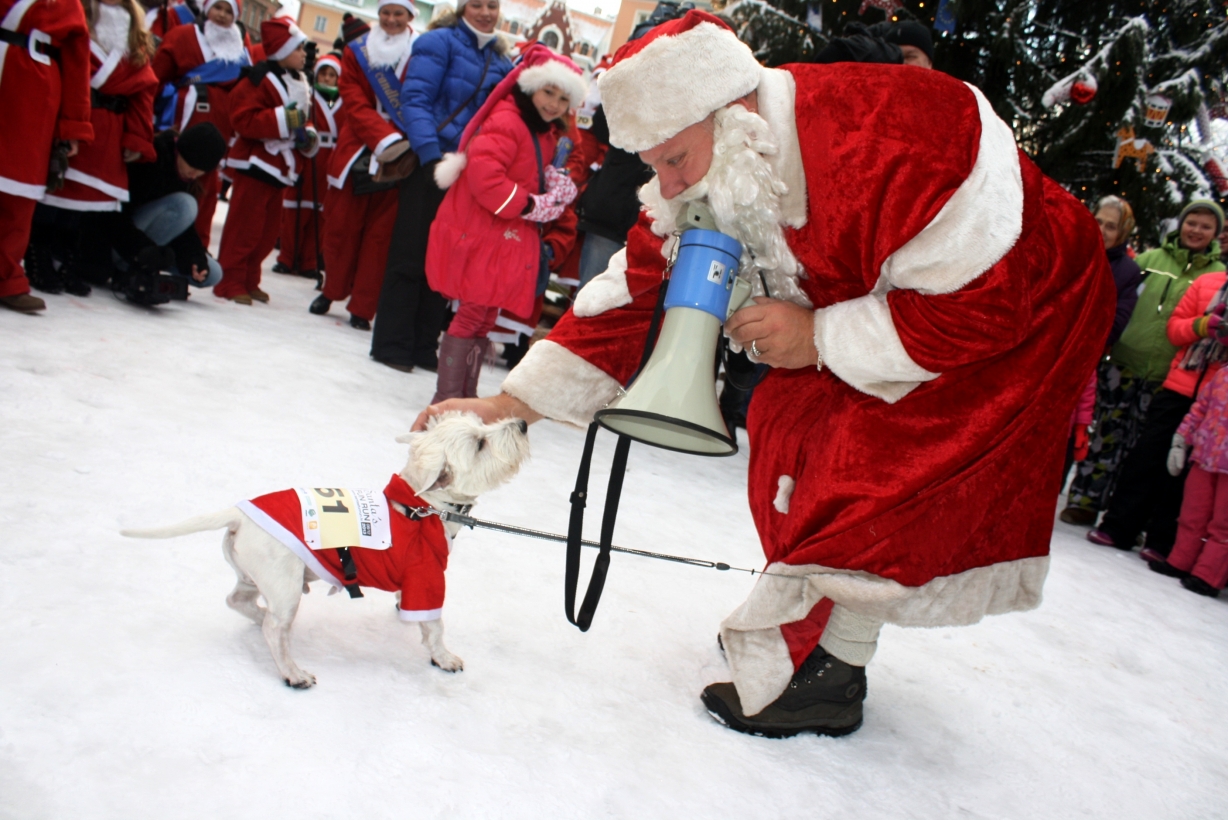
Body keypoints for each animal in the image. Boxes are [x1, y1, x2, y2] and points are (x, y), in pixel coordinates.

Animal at [120, 412, 528, 687]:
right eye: (480, 443)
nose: (523, 423)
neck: (425, 506)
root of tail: (237, 515)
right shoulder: (426, 578)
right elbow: (435, 625)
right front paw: (443, 657)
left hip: (254, 575)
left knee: (238, 601)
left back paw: (259, 618)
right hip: (284, 584)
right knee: (273, 628)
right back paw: (292, 672)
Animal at [412, 9, 1115, 741]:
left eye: (671, 158)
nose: (676, 198)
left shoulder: (933, 181)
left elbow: (962, 291)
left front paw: (791, 332)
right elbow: (632, 288)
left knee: (875, 524)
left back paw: (799, 680)